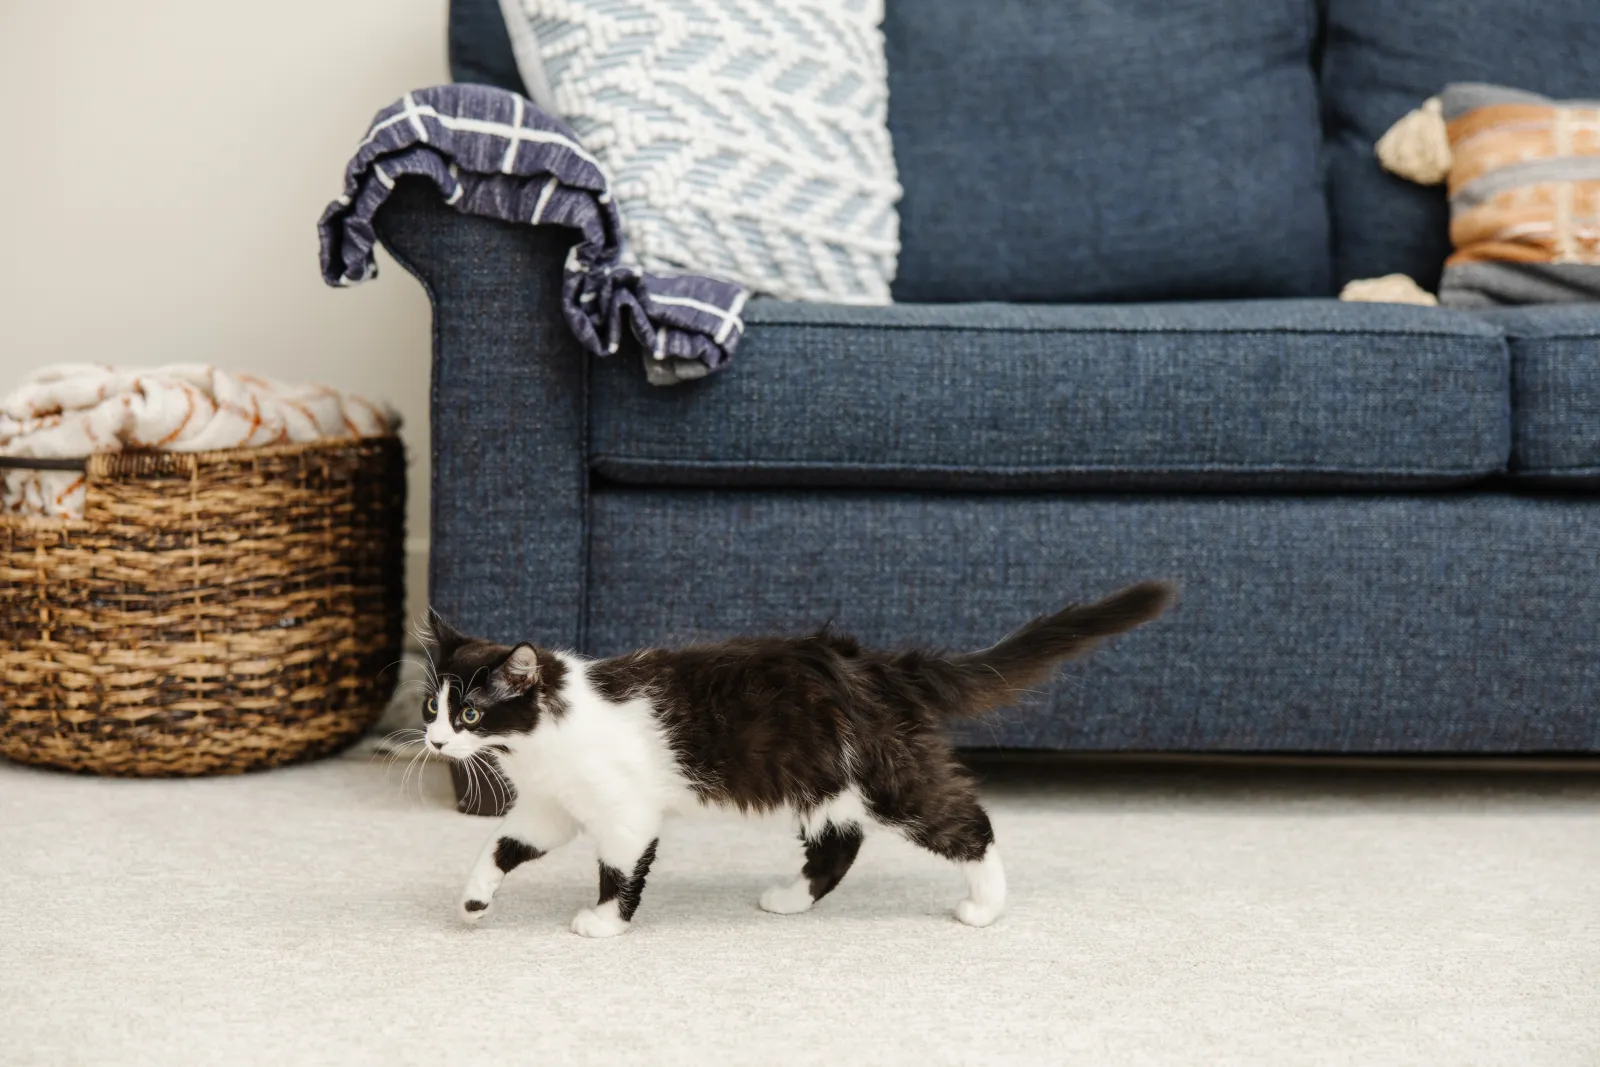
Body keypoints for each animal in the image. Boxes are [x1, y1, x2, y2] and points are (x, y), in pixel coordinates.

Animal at [419, 579, 1171, 940]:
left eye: (471, 715)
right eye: (431, 705)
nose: (433, 742)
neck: (541, 742)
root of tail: (878, 665)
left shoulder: (624, 812)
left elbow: (618, 870)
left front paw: (604, 923)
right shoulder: (551, 807)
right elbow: (502, 844)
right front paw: (474, 899)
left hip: (883, 776)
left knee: (969, 822)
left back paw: (985, 906)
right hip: (822, 780)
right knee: (839, 844)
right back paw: (790, 899)